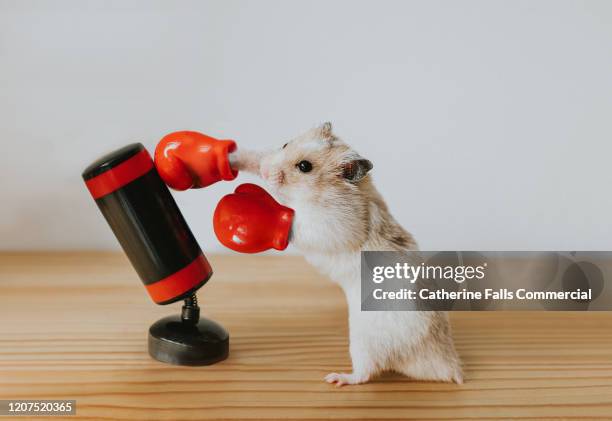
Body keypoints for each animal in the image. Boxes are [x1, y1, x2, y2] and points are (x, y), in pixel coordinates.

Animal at [232, 123, 462, 386]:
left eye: (304, 167)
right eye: (285, 144)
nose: (266, 171)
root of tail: (448, 365)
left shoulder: (330, 224)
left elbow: (296, 224)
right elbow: (255, 157)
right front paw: (233, 158)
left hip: (365, 341)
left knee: (366, 372)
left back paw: (336, 378)